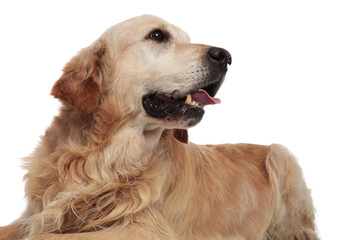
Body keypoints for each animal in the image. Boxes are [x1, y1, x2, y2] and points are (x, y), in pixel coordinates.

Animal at [0, 15, 320, 240]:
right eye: (157, 35)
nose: (225, 56)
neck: (104, 158)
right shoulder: (34, 215)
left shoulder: (145, 229)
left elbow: (45, 236)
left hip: (280, 155)